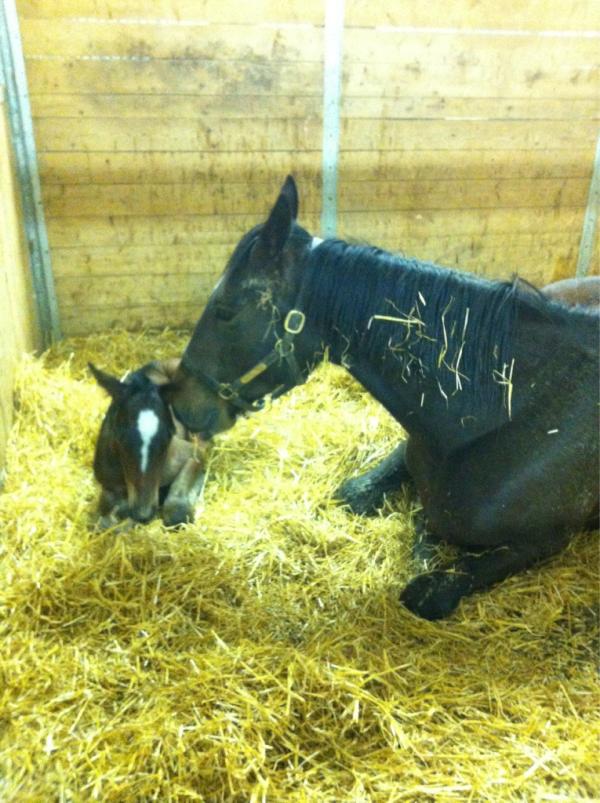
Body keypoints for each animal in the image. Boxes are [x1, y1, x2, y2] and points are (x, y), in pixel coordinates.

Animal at [90, 359, 209, 529]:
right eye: (119, 435)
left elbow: (175, 511)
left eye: (169, 434)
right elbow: (105, 519)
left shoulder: (191, 453)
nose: (143, 514)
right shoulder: (107, 482)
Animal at [165, 175, 599, 620]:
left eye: (225, 310)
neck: (509, 413)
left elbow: (429, 590)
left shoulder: (544, 540)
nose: (181, 406)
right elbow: (359, 492)